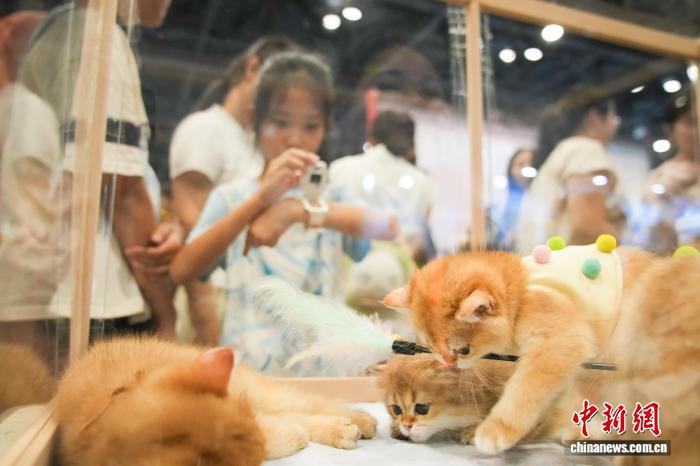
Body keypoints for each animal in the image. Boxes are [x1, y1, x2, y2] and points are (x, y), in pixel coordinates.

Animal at [55, 337, 377, 466]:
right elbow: (279, 433)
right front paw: (297, 437)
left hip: (260, 392)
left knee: (309, 404)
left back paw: (359, 421)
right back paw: (342, 428)